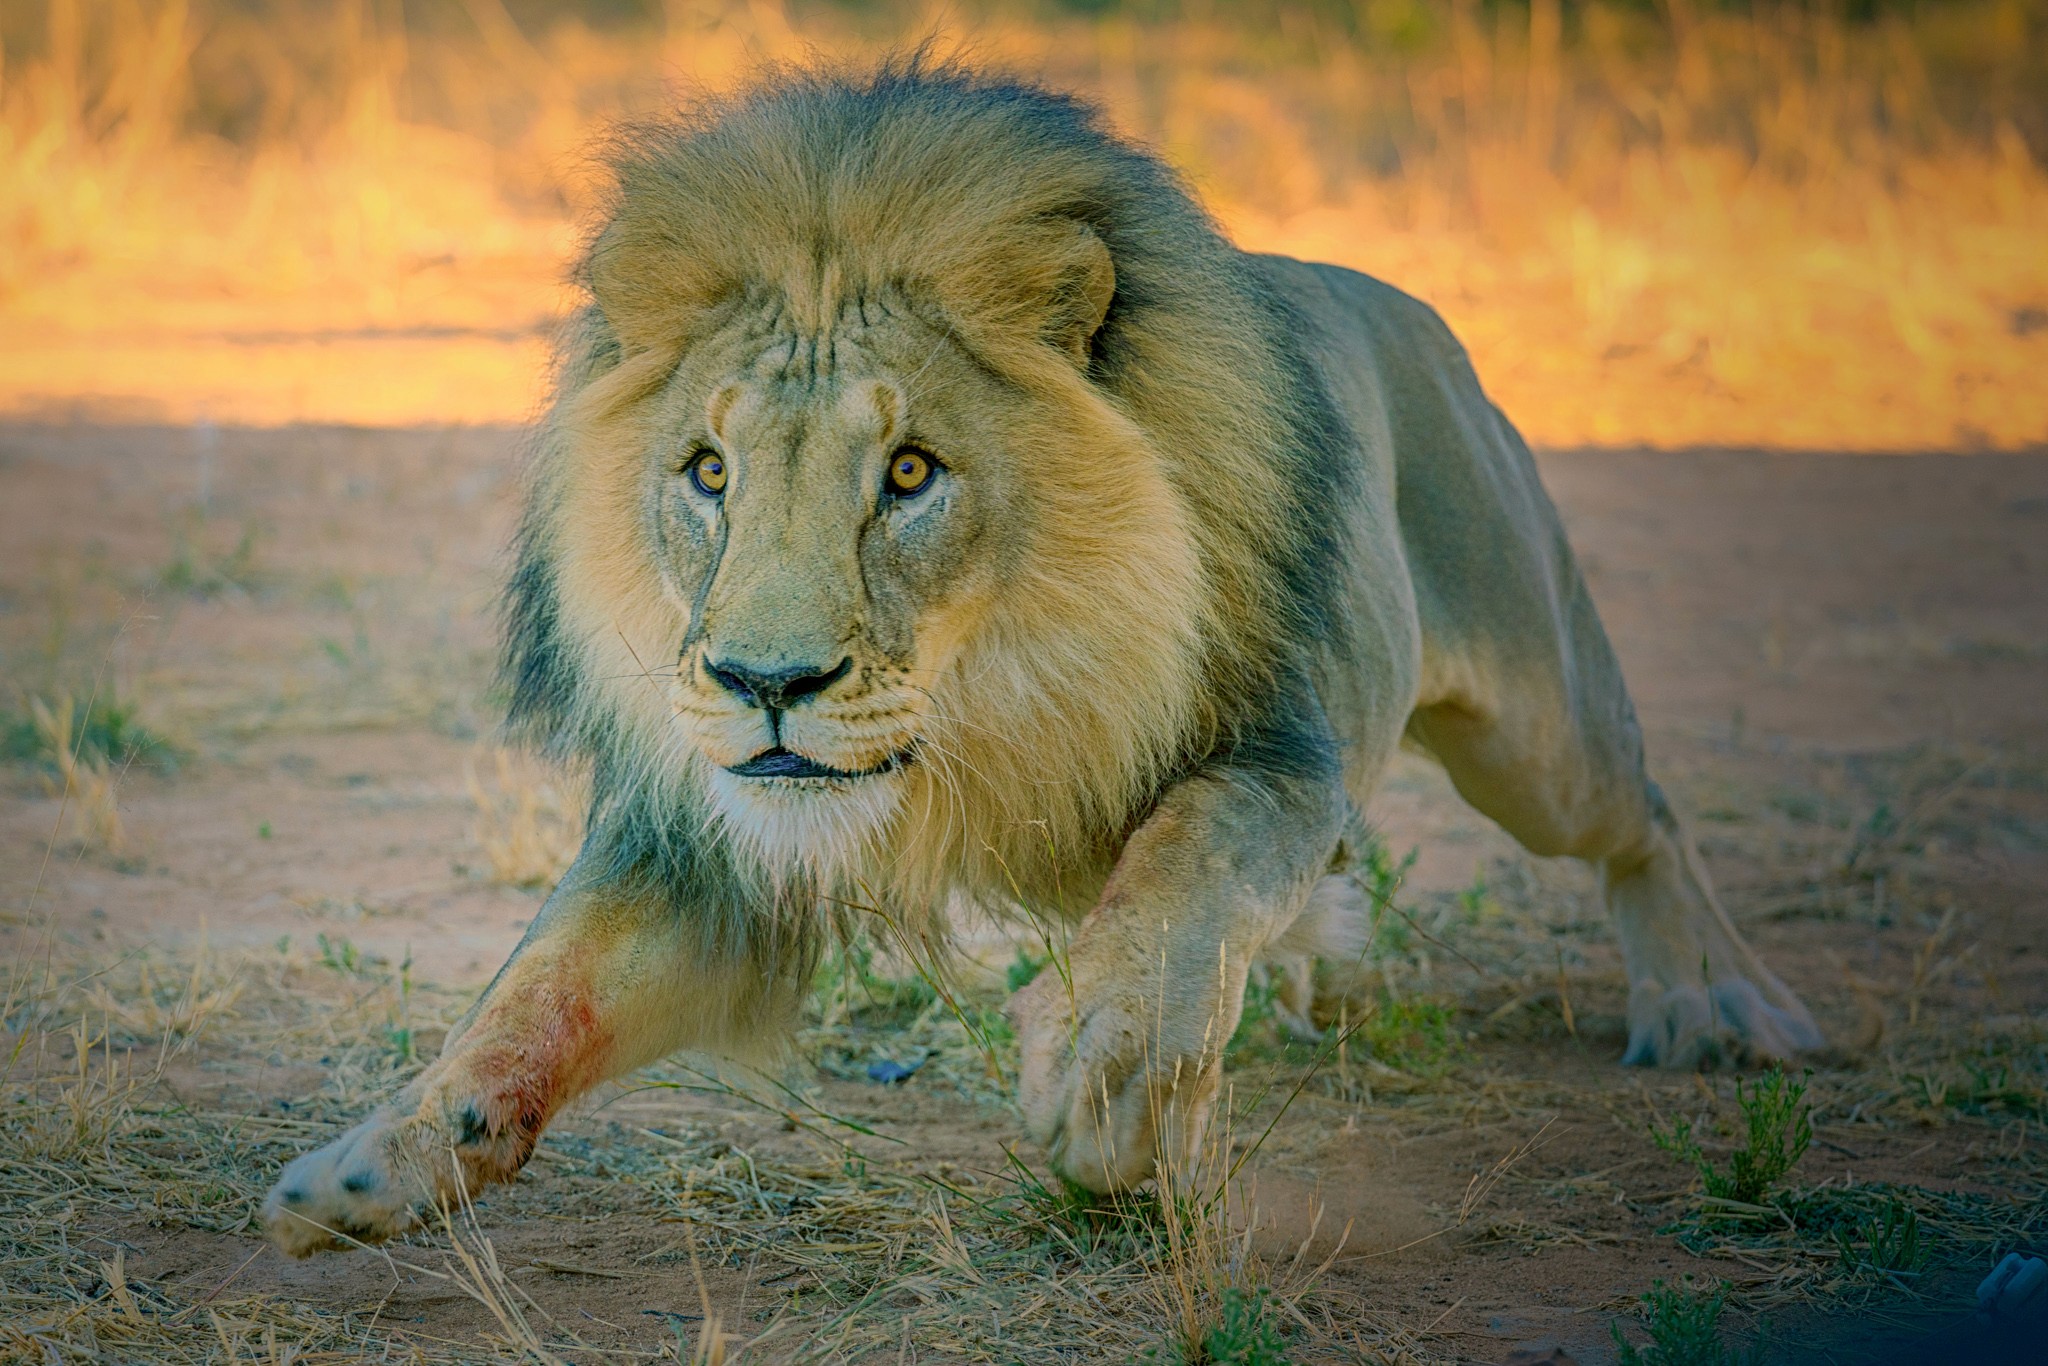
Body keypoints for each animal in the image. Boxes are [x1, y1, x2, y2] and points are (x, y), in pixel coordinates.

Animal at [260, 63, 1826, 1261]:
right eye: (708, 471)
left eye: (909, 472)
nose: (768, 685)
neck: (994, 700)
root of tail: (1402, 304)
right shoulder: (705, 842)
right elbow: (538, 986)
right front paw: (379, 1158)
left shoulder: (1278, 748)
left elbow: (1187, 867)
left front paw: (1106, 1073)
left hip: (1536, 721)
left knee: (1642, 814)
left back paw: (1716, 1006)